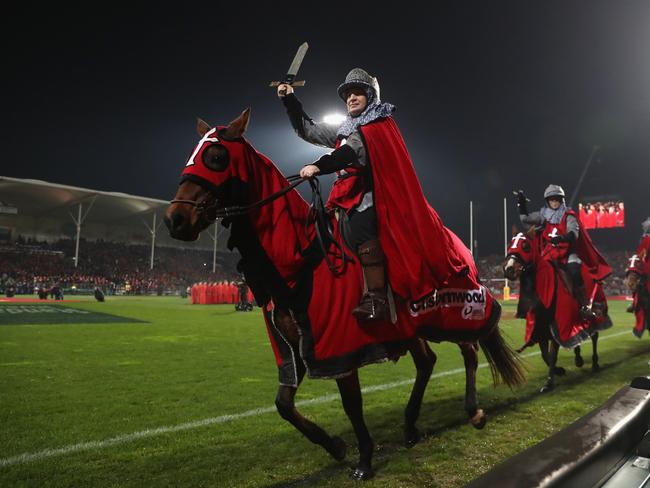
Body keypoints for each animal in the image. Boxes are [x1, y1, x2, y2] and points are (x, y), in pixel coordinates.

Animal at [165, 108, 524, 478]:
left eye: (216, 156)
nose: (175, 219)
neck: (303, 256)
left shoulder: (339, 345)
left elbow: (352, 403)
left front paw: (364, 459)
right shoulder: (295, 347)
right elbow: (283, 404)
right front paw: (335, 446)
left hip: (454, 311)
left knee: (469, 351)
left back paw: (473, 410)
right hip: (411, 328)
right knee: (428, 363)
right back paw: (410, 426)